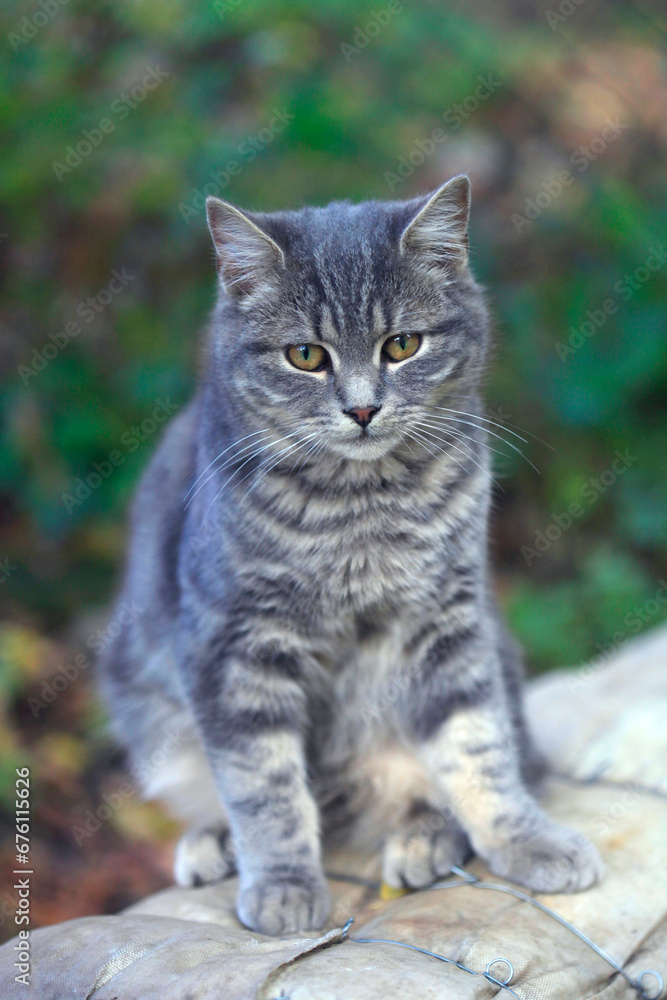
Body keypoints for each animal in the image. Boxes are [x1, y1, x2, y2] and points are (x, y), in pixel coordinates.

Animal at [100, 180, 604, 936]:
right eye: (306, 356)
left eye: (402, 345)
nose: (363, 410)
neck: (359, 509)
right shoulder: (233, 646)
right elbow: (263, 784)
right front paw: (283, 885)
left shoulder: (450, 623)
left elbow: (478, 749)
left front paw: (525, 841)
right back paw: (214, 843)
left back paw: (424, 837)